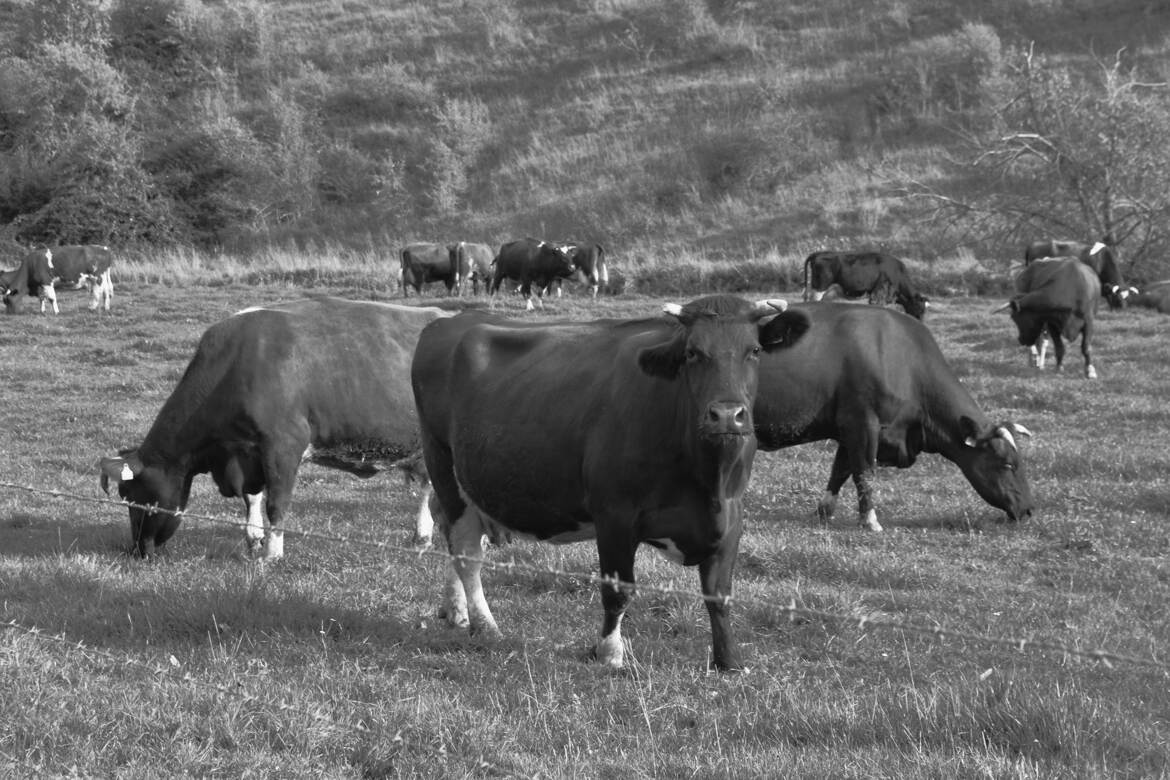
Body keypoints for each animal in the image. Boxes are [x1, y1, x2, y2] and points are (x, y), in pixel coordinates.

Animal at [99, 297, 452, 558]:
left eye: (133, 496)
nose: (138, 551)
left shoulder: (283, 446)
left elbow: (276, 503)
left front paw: (273, 554)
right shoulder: (246, 453)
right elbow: (252, 498)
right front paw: (253, 540)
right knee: (427, 487)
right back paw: (422, 537)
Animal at [411, 294, 796, 671]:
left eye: (754, 350)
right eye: (692, 353)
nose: (727, 415)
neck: (707, 479)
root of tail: (451, 320)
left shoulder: (731, 517)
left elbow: (719, 594)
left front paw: (728, 660)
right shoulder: (615, 516)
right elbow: (618, 590)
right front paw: (610, 653)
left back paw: (456, 611)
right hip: (442, 462)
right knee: (466, 551)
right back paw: (484, 624)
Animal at [753, 303, 1034, 532]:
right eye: (1008, 464)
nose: (1029, 510)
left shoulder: (850, 431)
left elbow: (840, 470)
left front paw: (824, 512)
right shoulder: (863, 423)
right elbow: (864, 473)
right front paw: (870, 521)